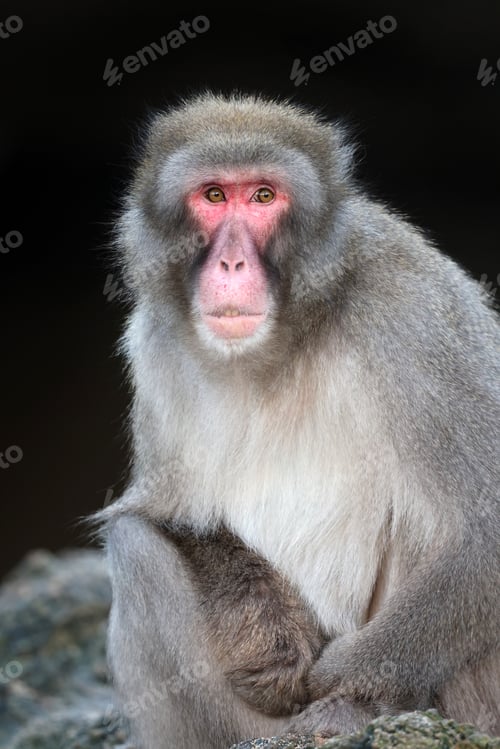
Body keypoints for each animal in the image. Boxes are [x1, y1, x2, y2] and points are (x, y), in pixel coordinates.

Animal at [99, 93, 500, 748]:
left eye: (264, 196)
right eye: (214, 196)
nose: (232, 262)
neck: (285, 340)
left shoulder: (411, 313)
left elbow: (486, 532)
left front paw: (348, 678)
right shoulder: (154, 345)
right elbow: (163, 516)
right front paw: (268, 639)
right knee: (137, 549)